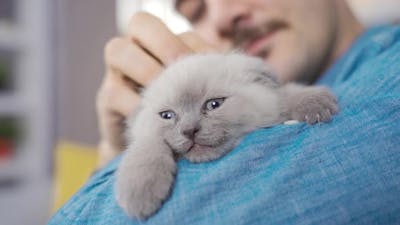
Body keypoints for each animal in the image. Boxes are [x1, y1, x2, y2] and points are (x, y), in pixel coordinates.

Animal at [115, 53, 338, 220]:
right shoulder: (146, 140)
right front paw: (140, 194)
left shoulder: (275, 99)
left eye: (214, 104)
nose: (189, 130)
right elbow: (146, 149)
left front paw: (316, 104)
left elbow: (287, 93)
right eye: (167, 116)